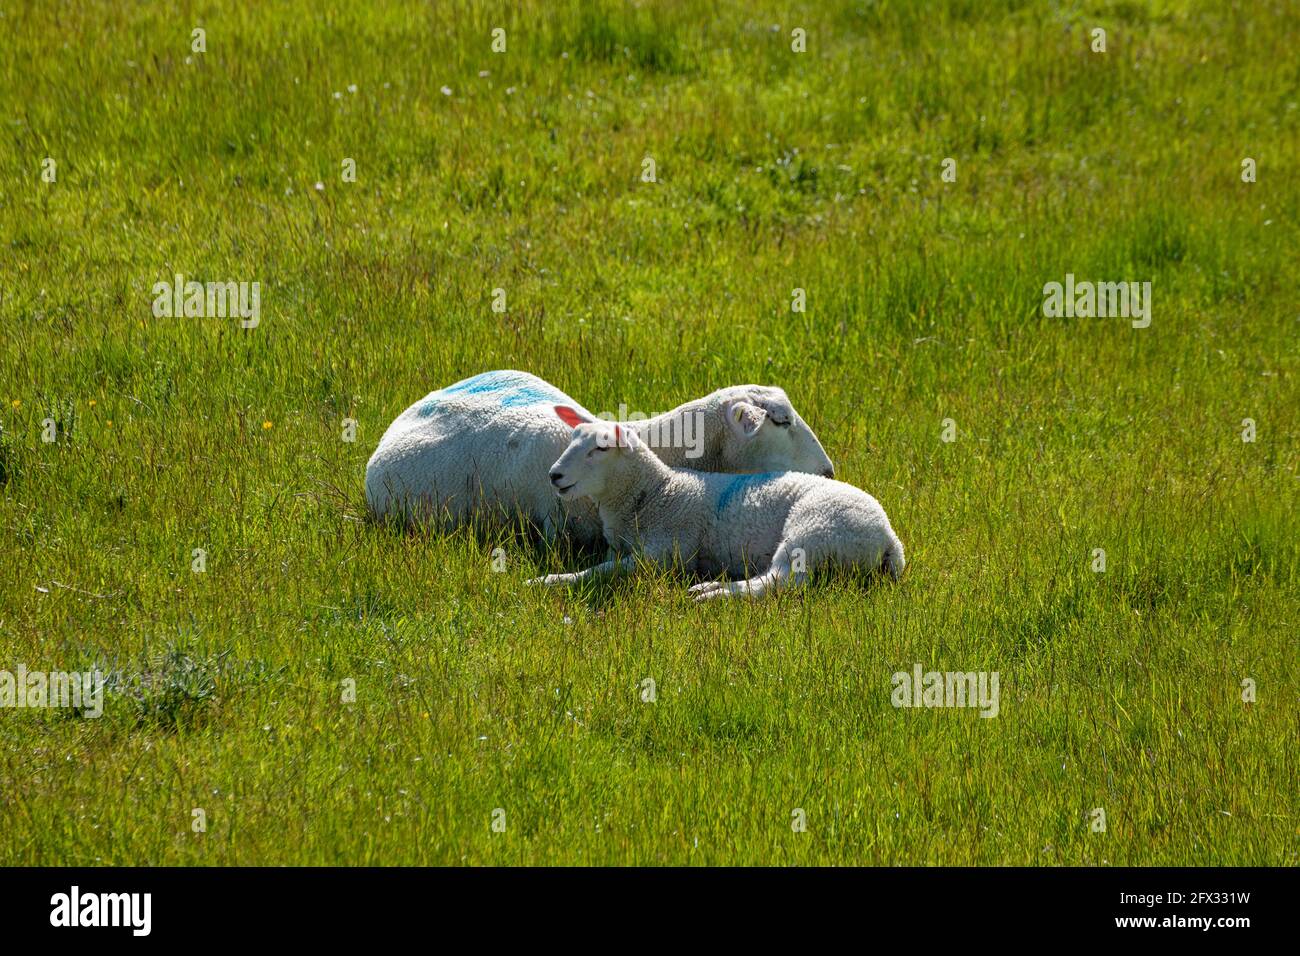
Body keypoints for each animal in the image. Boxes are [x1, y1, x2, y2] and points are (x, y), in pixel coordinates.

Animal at [527, 403, 904, 598]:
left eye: (600, 448)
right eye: (573, 438)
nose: (553, 475)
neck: (655, 492)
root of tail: (889, 540)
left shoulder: (665, 554)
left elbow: (599, 571)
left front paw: (549, 580)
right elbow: (604, 564)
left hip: (814, 531)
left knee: (777, 581)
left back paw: (713, 592)